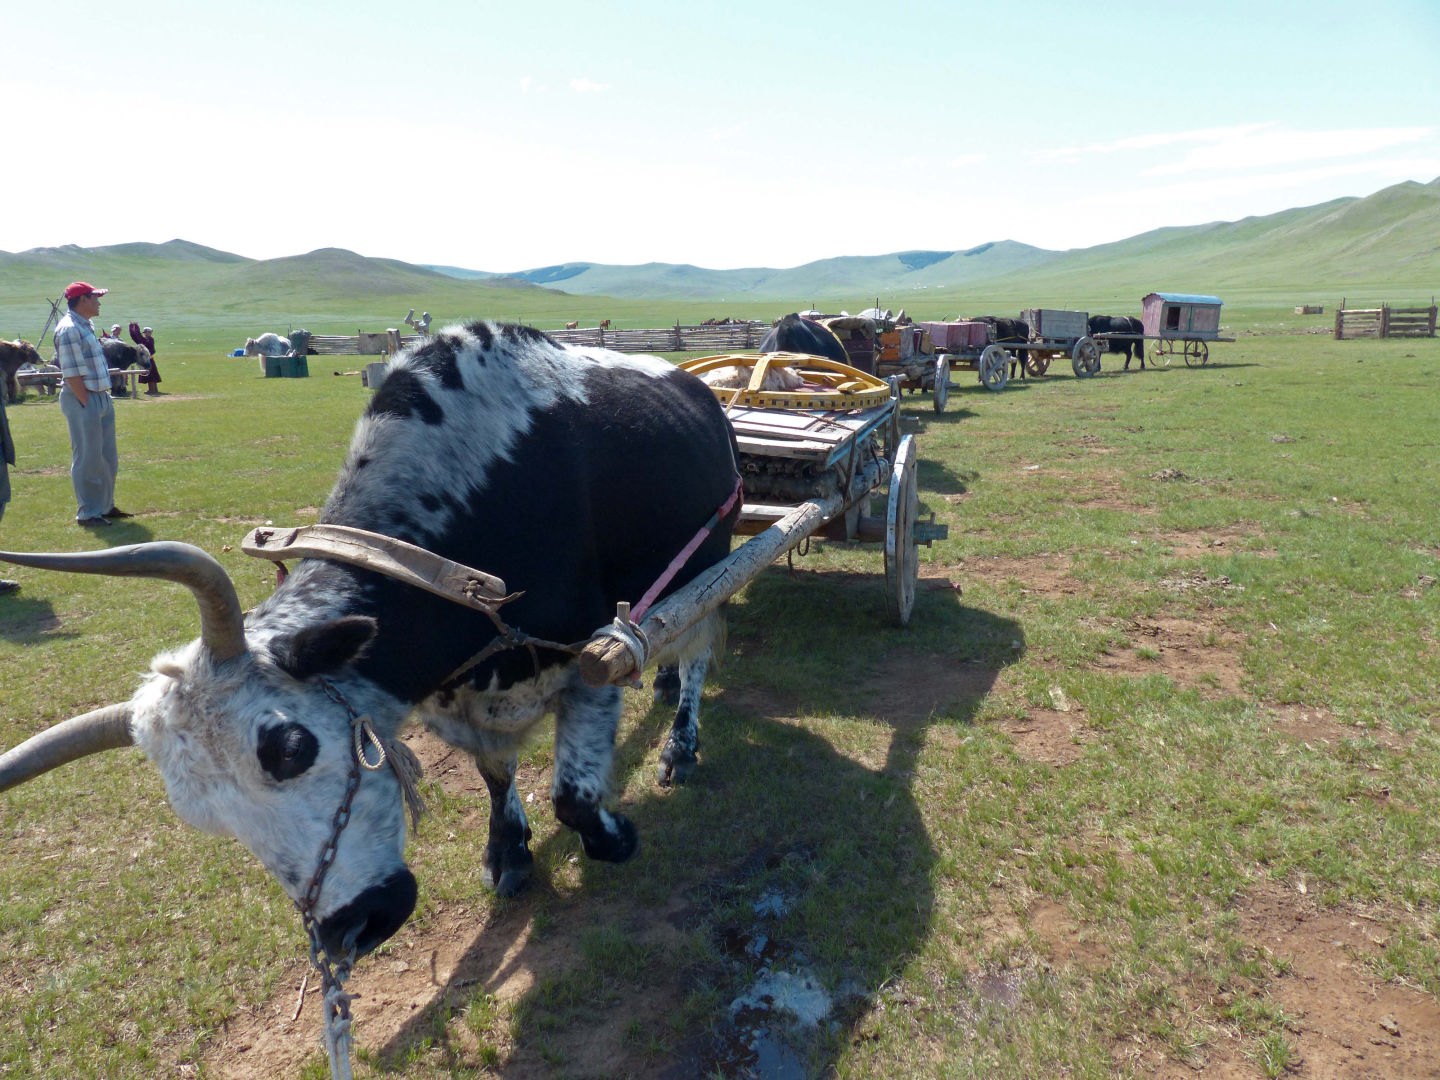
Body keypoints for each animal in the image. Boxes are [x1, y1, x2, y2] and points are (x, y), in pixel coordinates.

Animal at [0, 321, 742, 968]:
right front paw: (507, 853)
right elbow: (494, 773)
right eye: (197, 813)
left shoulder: (591, 656)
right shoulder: (455, 694)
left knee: (698, 653)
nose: (353, 927)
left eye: (291, 747)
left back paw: (682, 743)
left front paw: (615, 837)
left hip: (710, 565)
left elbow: (574, 796)